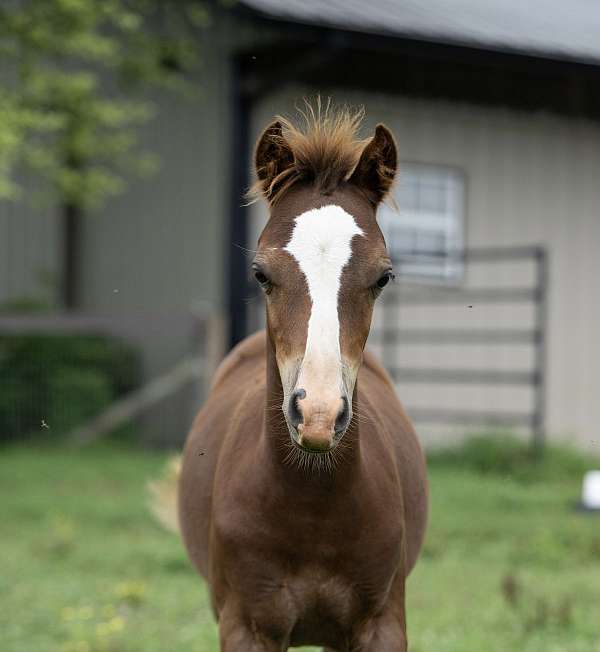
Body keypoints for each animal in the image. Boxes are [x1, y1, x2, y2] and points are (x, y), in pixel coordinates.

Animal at [178, 104, 428, 651]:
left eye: (383, 277)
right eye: (261, 274)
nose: (317, 414)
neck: (312, 507)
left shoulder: (383, 624)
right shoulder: (246, 627)